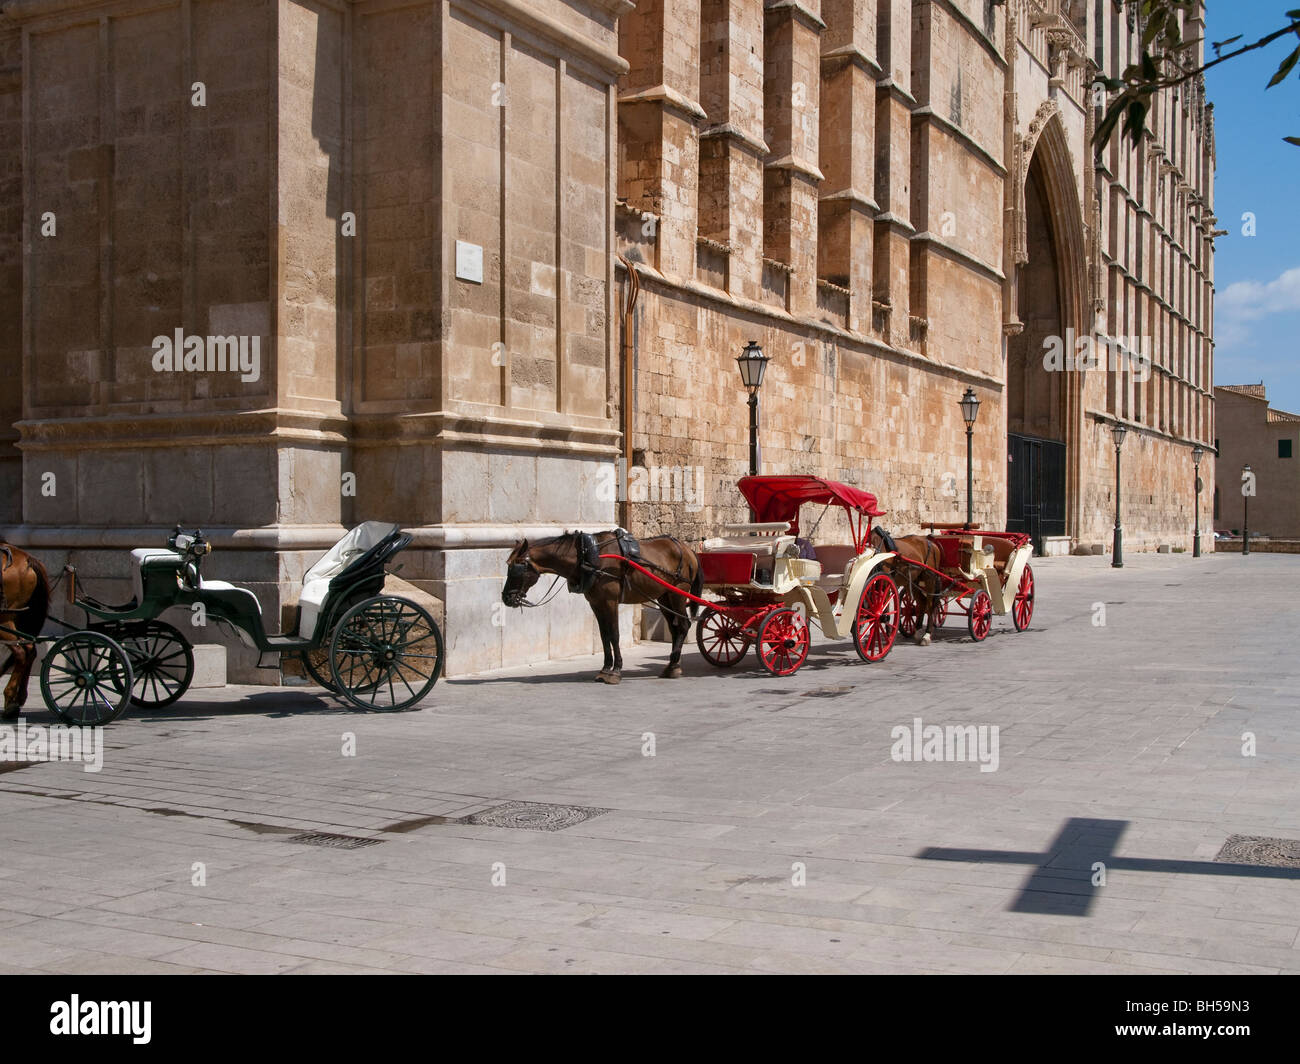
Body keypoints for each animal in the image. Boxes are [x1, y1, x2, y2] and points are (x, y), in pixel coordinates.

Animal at [0, 543, 51, 718]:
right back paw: (19, 698)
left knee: (21, 651)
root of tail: (26, 558)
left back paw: (10, 699)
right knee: (29, 649)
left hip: (5, 618)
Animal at [502, 531, 702, 684]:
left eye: (517, 567)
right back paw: (672, 665)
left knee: (683, 625)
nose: (506, 598)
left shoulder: (610, 602)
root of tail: (687, 549)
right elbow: (604, 636)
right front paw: (605, 669)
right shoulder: (596, 604)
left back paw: (673, 666)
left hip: (678, 594)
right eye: (508, 566)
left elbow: (614, 635)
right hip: (664, 597)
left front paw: (616, 670)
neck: (589, 558)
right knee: (675, 629)